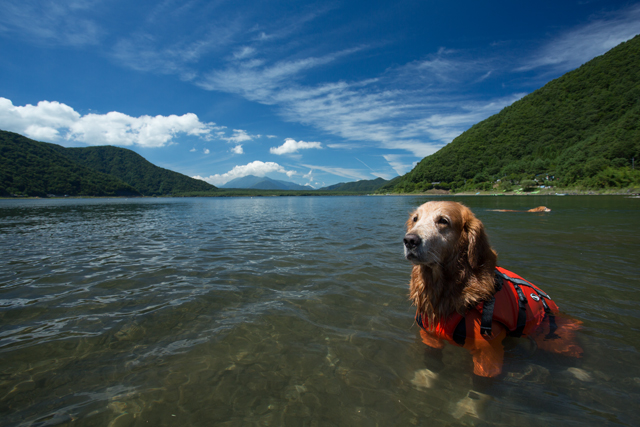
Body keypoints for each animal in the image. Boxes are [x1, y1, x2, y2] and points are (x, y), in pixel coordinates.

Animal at [408, 201, 584, 378]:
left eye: (443, 221)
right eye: (415, 219)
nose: (409, 240)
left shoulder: (488, 349)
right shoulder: (430, 334)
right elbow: (432, 360)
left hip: (554, 339)